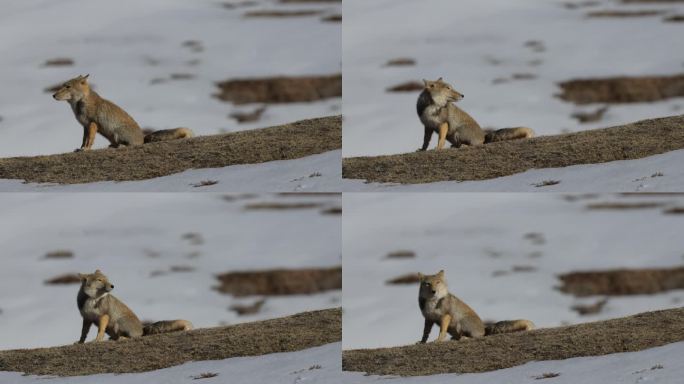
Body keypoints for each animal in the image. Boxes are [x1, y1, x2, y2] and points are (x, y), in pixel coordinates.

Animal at [51, 75, 192, 152]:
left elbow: (89, 140)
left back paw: (121, 147)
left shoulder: (92, 124)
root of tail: (143, 138)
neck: (81, 103)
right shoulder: (85, 126)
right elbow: (83, 140)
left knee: (128, 145)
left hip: (117, 133)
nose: (53, 95)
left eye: (67, 87)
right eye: (63, 85)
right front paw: (80, 148)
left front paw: (86, 150)